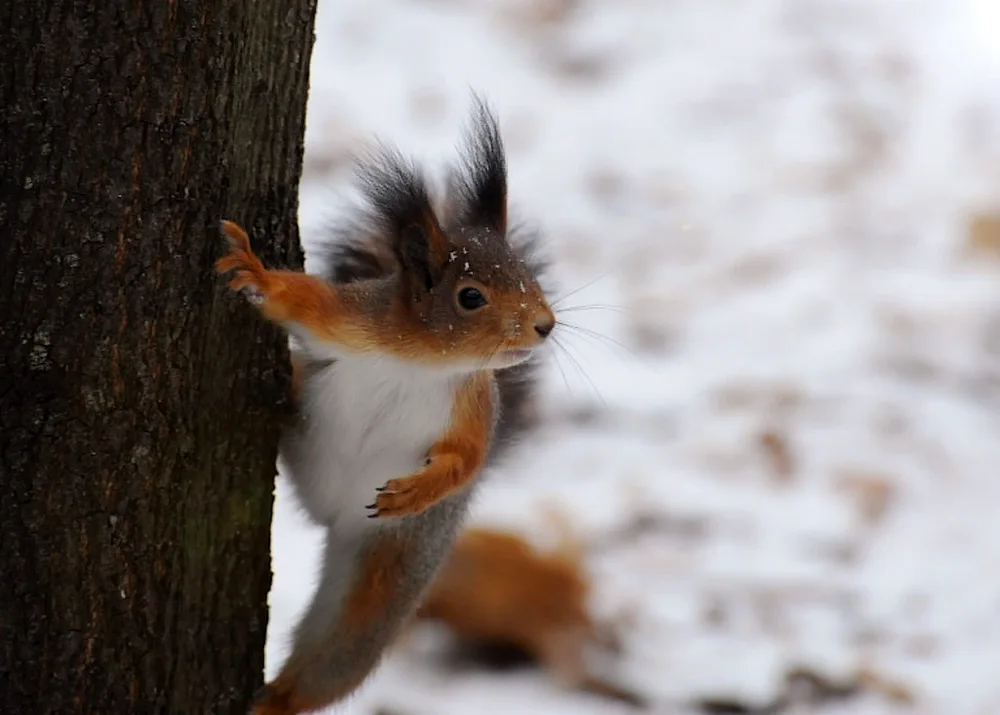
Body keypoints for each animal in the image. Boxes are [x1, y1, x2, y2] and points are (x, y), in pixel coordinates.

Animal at [215, 99, 556, 715]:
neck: (423, 359)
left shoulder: (474, 405)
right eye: (471, 297)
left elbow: (466, 458)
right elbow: (301, 303)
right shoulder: (351, 321)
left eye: (526, 273)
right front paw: (253, 271)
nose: (545, 325)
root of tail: (327, 514)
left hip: (392, 570)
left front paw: (414, 491)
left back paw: (277, 699)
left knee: (339, 652)